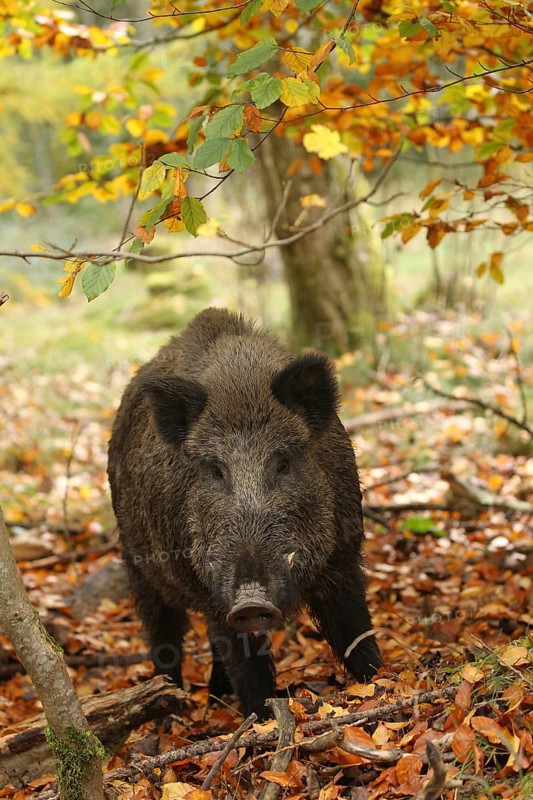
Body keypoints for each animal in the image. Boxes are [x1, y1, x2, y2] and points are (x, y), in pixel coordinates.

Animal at [108, 308, 381, 718]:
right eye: (215, 470)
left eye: (282, 463)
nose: (251, 601)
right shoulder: (208, 587)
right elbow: (245, 660)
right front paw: (262, 719)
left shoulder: (344, 558)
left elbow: (354, 628)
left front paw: (380, 682)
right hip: (137, 563)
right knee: (164, 636)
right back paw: (169, 707)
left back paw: (215, 697)